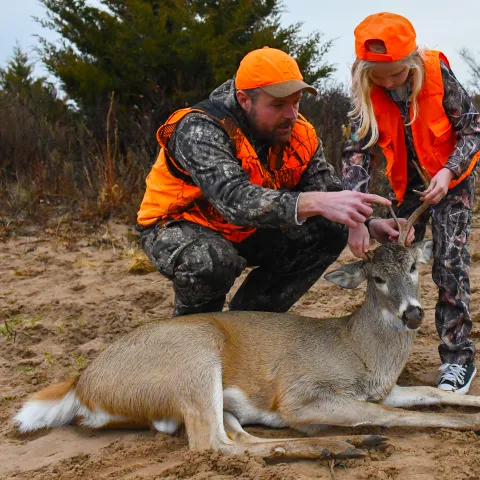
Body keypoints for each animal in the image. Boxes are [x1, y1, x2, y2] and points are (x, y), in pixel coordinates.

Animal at [10, 189, 480, 460]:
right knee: (213, 445)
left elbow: (432, 394)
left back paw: (348, 445)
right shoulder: (301, 395)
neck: (360, 347)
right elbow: (397, 415)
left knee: (237, 439)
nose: (412, 313)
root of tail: (81, 383)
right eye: (376, 278)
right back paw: (348, 444)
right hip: (194, 361)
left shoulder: (386, 388)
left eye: (415, 267)